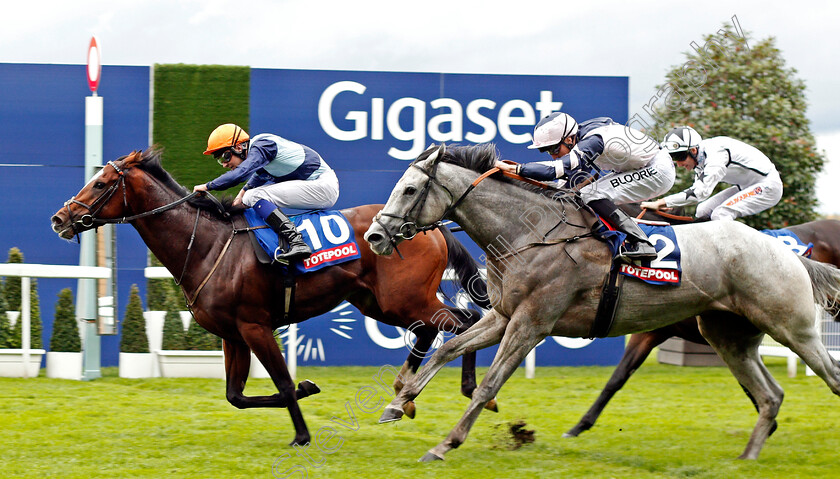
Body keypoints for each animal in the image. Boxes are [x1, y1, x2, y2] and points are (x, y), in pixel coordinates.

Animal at [47, 149, 492, 446]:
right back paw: (407, 395)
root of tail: (431, 226)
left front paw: (302, 434)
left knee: (465, 323)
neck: (208, 245)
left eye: (101, 183)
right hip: (380, 303)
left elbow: (281, 379)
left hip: (404, 298)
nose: (59, 218)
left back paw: (467, 390)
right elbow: (237, 396)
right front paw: (308, 389)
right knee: (436, 329)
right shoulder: (232, 334)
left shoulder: (255, 325)